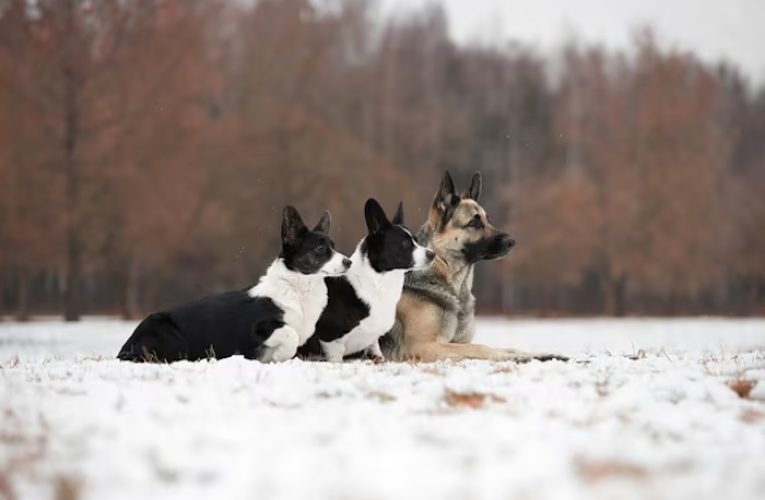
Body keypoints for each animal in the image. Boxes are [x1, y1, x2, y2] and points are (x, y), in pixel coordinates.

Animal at [118, 206, 350, 364]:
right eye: (320, 249)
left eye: (333, 246)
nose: (348, 262)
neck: (297, 287)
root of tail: (126, 347)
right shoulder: (261, 328)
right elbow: (289, 335)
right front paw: (278, 356)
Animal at [298, 200, 432, 364]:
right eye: (406, 244)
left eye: (417, 241)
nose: (433, 254)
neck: (377, 282)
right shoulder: (331, 339)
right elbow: (336, 356)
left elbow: (374, 345)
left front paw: (377, 357)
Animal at [382, 172, 568, 364]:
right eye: (474, 223)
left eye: (488, 220)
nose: (512, 242)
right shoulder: (424, 346)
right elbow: (481, 347)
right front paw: (512, 358)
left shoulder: (457, 341)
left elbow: (508, 347)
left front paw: (541, 355)